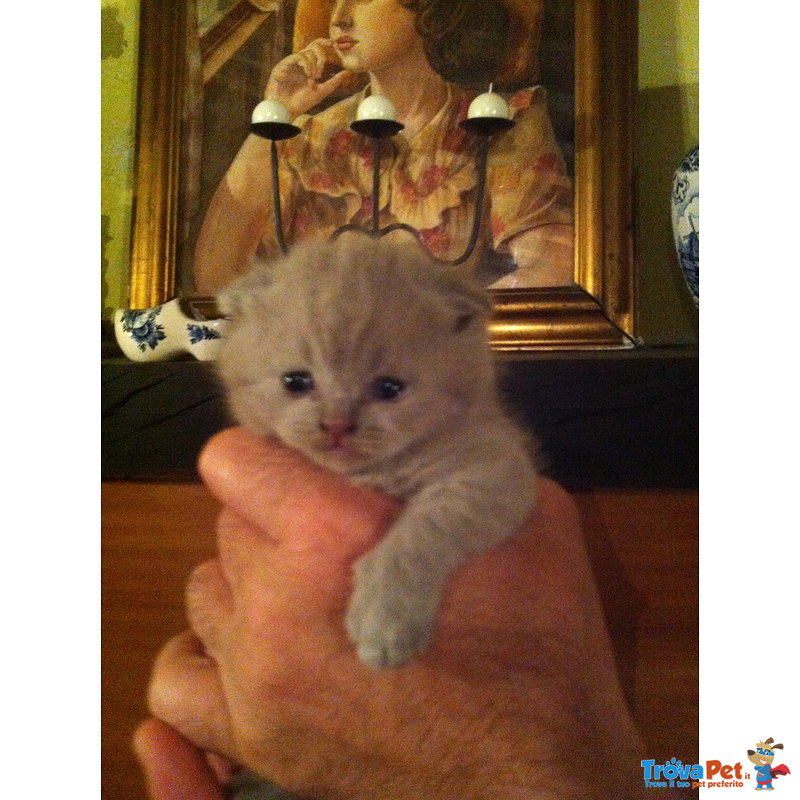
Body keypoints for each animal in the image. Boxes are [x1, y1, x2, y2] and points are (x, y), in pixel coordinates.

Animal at [216, 236, 536, 668]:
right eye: (295, 381)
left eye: (389, 389)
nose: (336, 424)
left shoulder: (495, 469)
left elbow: (424, 530)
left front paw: (385, 619)